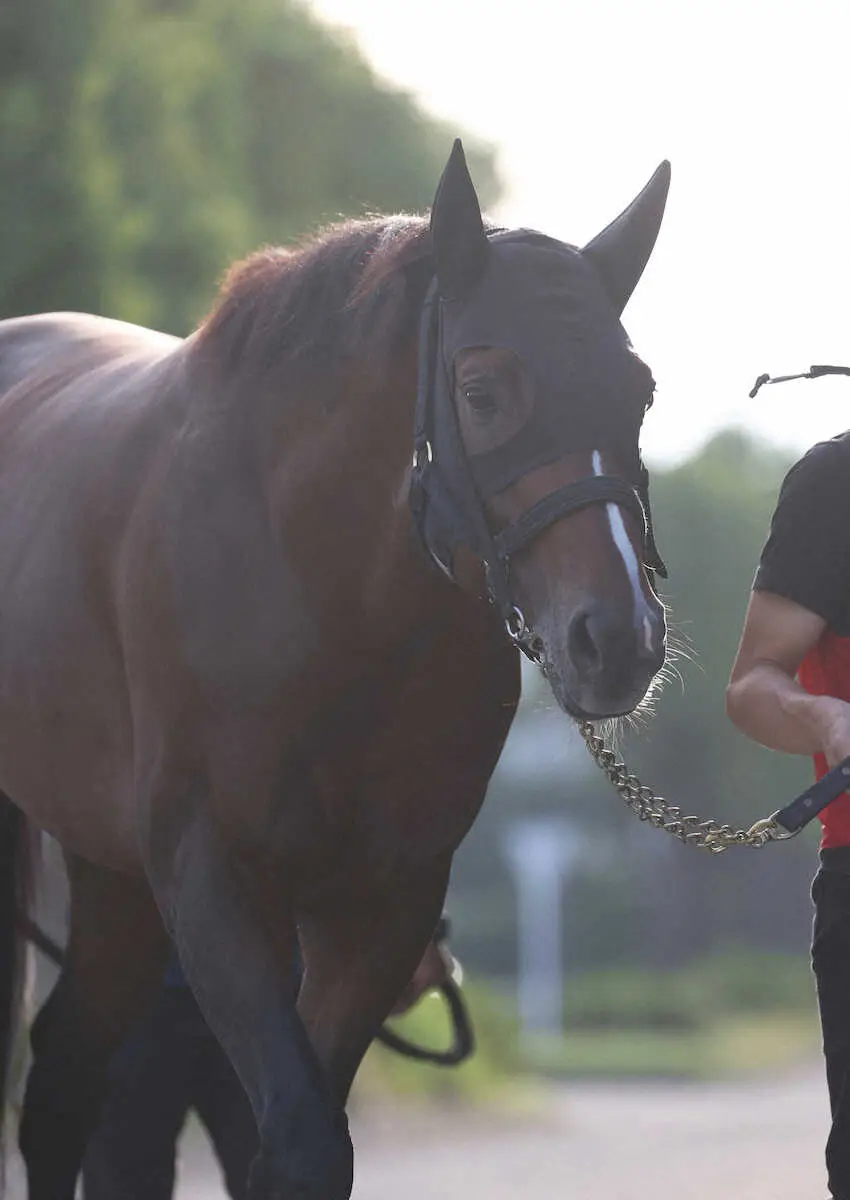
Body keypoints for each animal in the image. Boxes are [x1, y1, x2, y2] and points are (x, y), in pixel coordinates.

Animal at [0, 142, 672, 1200]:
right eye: (481, 391)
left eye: (636, 391)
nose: (618, 638)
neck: (325, 597)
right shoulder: (216, 875)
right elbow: (300, 1137)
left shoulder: (383, 900)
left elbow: (303, 1143)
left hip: (109, 872)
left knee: (66, 1074)